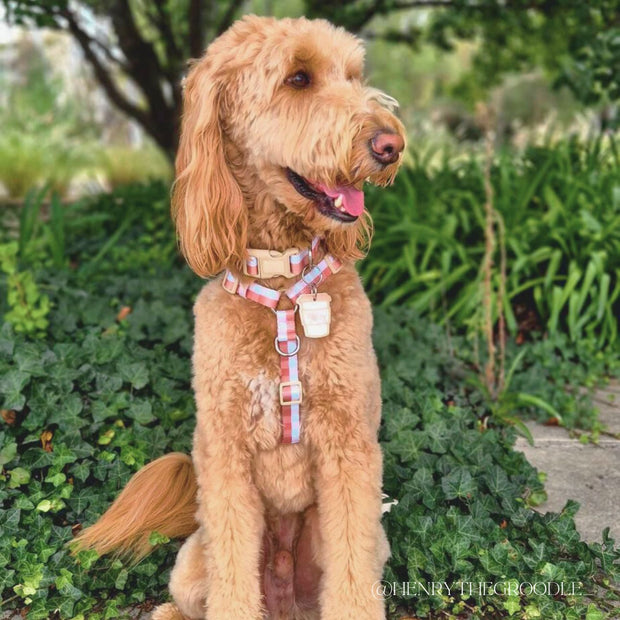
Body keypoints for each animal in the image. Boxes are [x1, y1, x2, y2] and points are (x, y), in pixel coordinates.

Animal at [75, 14, 404, 620]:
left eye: (353, 75)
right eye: (298, 78)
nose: (389, 143)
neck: (282, 289)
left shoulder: (350, 452)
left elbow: (352, 578)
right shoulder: (224, 455)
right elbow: (231, 576)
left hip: (364, 542)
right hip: (194, 557)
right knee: (193, 596)